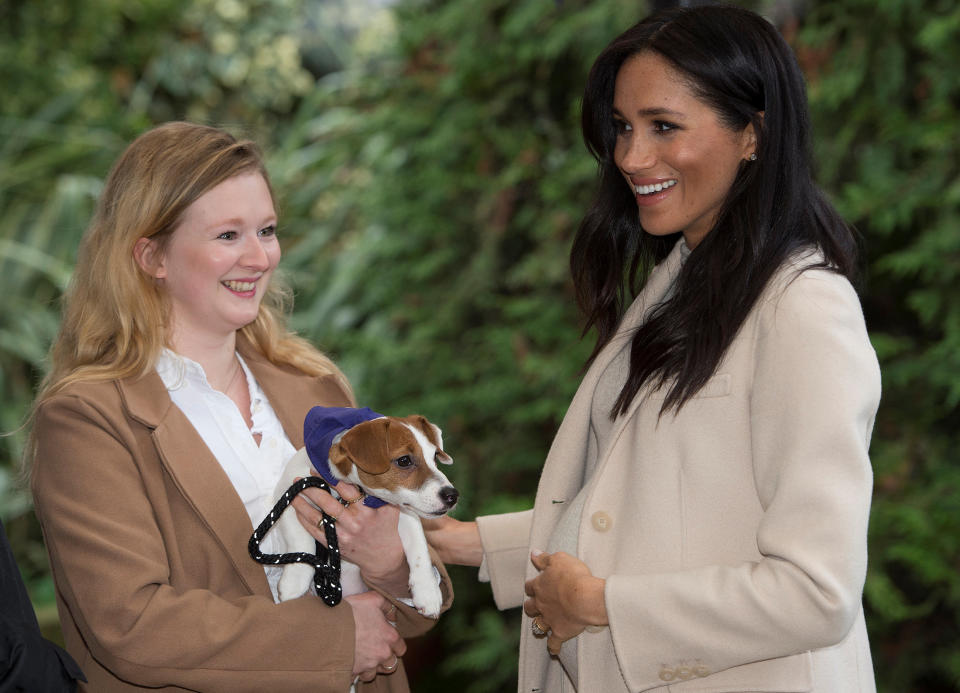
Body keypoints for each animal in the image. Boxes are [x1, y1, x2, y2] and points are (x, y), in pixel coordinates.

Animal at [270, 406, 458, 616]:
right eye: (404, 460)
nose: (452, 495)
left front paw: (427, 590)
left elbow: (419, 548)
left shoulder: (405, 513)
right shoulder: (290, 497)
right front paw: (295, 581)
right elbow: (301, 540)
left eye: (434, 457)